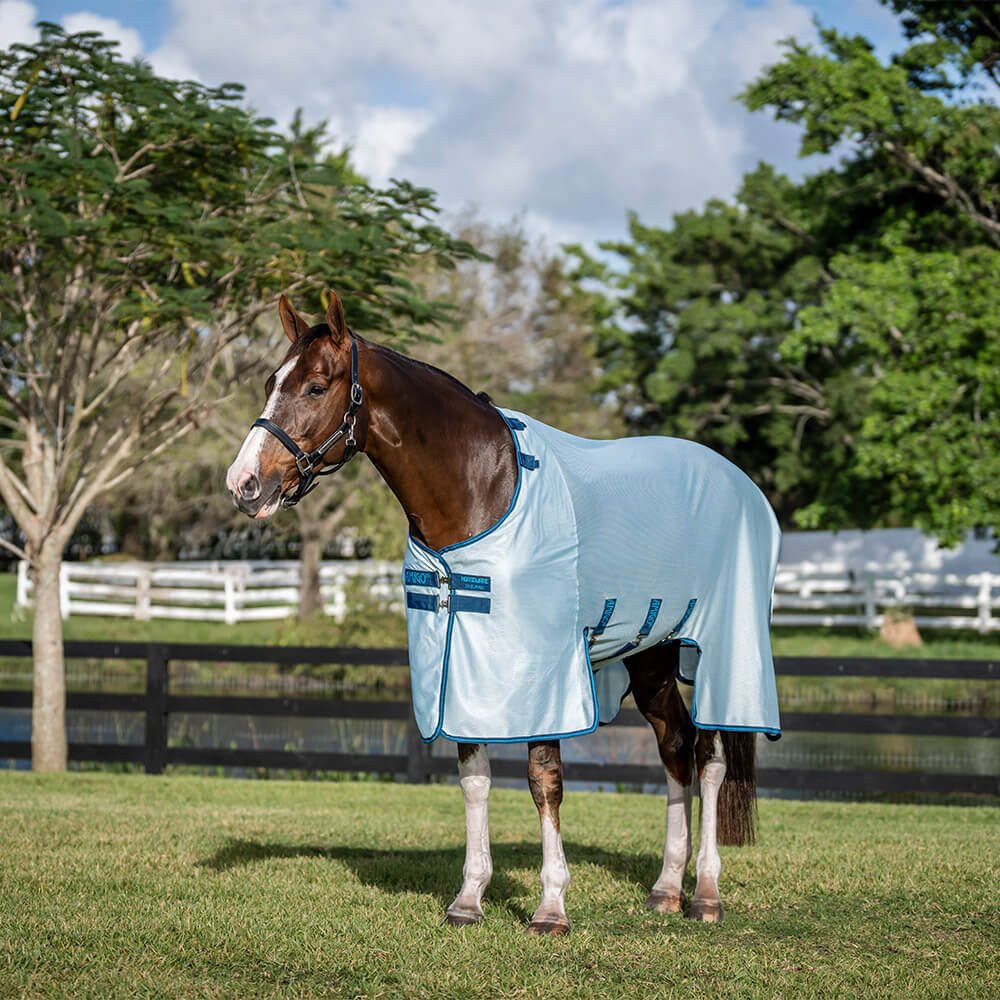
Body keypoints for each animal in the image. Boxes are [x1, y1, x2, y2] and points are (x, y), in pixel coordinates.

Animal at [226, 291, 781, 933]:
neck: (482, 486)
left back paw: (707, 894)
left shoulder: (545, 673)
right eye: (271, 381)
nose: (244, 483)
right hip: (651, 656)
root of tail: (740, 483)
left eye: (316, 387)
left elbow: (545, 780)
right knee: (676, 746)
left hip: (721, 647)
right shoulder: (458, 665)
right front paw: (469, 899)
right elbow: (474, 780)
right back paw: (667, 887)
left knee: (711, 756)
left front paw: (551, 905)